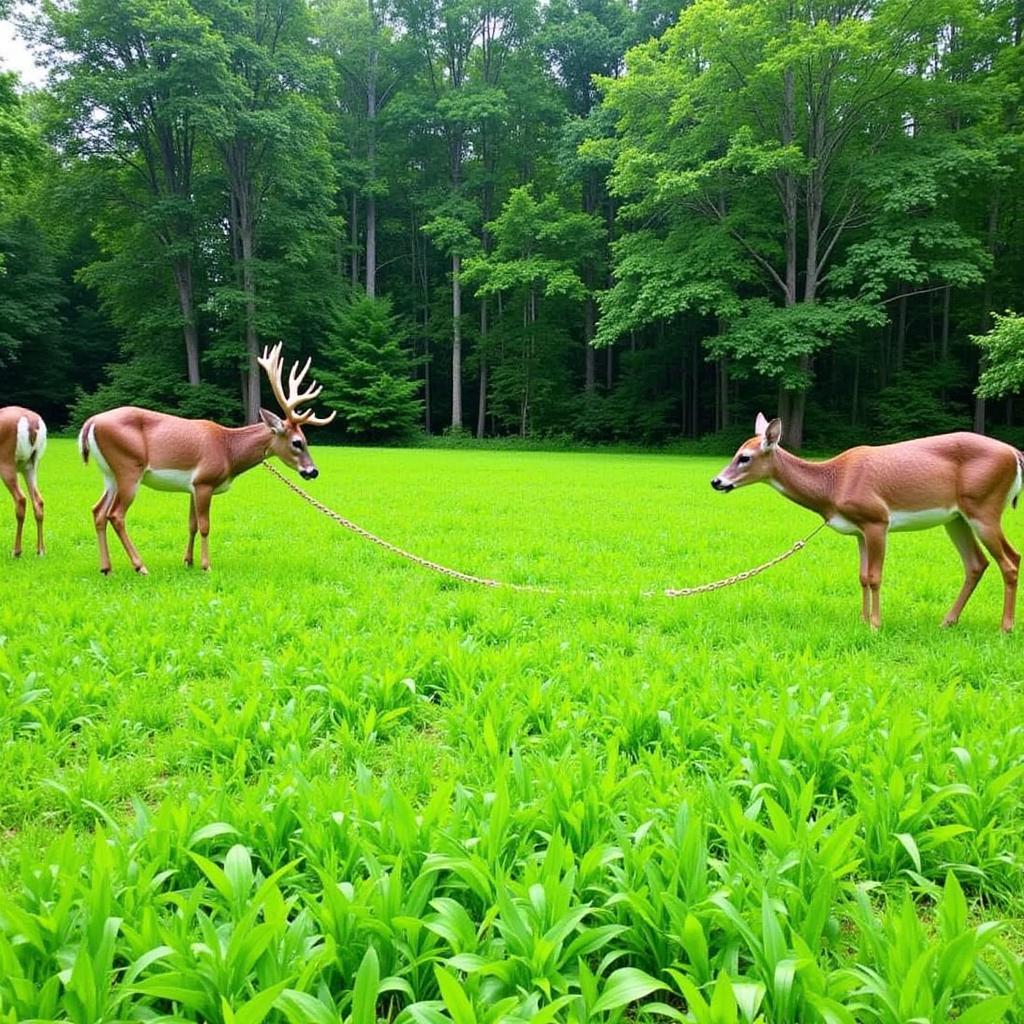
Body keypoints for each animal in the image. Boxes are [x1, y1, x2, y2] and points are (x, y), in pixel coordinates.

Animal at [0, 403, 46, 557]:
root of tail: (31, 423)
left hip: (7, 461)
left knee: (21, 499)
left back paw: (16, 551)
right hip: (31, 465)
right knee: (38, 501)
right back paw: (40, 550)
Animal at [81, 339, 335, 573]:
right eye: (297, 442)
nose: (313, 471)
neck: (228, 449)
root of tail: (90, 423)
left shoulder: (192, 486)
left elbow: (191, 524)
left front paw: (188, 561)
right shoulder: (204, 481)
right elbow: (205, 525)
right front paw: (206, 565)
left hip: (110, 474)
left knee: (97, 511)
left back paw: (106, 568)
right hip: (129, 467)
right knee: (116, 514)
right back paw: (140, 566)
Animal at [712, 415, 1024, 630]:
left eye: (744, 457)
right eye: (736, 453)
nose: (716, 481)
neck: (833, 484)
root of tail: (1015, 454)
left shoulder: (877, 520)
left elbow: (875, 577)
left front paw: (875, 624)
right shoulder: (859, 530)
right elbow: (862, 576)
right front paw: (862, 620)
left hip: (984, 507)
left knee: (1010, 560)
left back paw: (1005, 627)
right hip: (957, 517)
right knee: (977, 563)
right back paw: (948, 621)